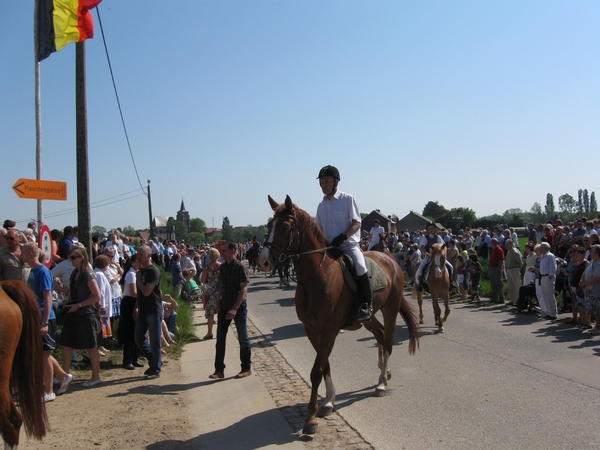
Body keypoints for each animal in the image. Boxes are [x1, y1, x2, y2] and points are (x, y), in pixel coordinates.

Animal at [260, 197, 420, 436]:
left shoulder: (329, 330)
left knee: (389, 339)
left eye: (285, 227)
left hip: (390, 309)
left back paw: (382, 383)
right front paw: (328, 401)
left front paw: (311, 418)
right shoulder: (312, 330)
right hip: (368, 318)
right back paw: (385, 373)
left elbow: (316, 371)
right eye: (269, 226)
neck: (317, 275)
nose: (263, 261)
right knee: (381, 336)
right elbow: (324, 365)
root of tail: (389, 257)